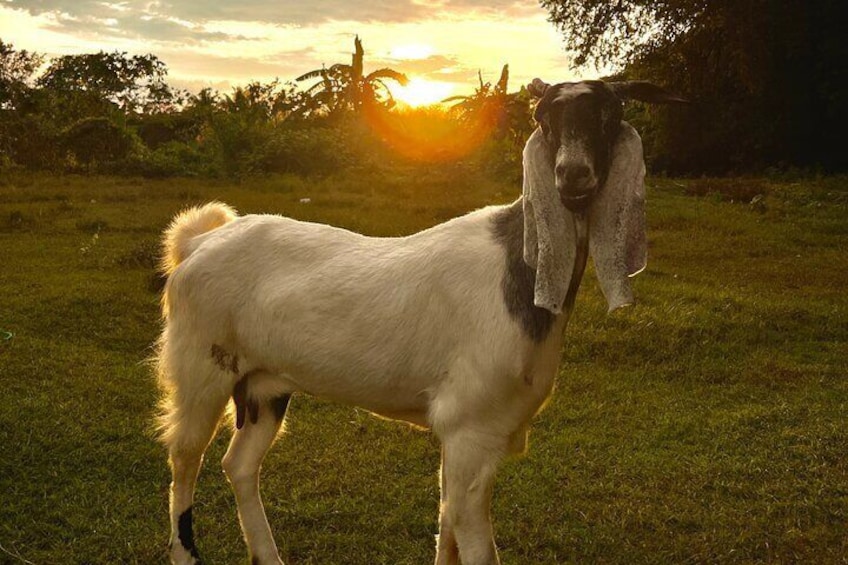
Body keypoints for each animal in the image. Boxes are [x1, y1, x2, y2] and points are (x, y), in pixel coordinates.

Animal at [157, 77, 688, 560]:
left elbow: (447, 522)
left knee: (239, 464)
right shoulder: (471, 425)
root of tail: (197, 242)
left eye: (611, 113)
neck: (518, 274)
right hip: (201, 365)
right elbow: (472, 539)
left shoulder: (466, 434)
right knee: (184, 457)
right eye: (543, 118)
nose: (572, 176)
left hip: (265, 384)